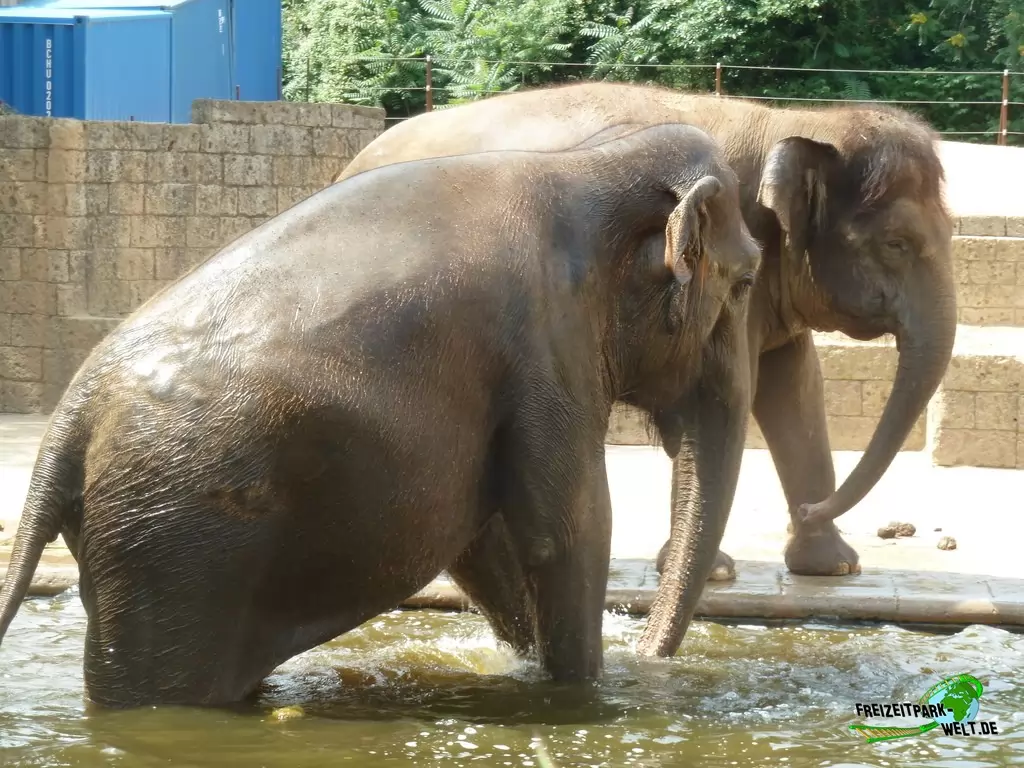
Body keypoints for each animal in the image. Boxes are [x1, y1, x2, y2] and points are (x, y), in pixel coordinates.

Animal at [0, 123, 761, 707]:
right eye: (747, 279)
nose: (650, 657)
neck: (593, 159)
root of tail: (66, 424)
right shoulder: (550, 345)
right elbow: (567, 530)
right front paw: (582, 693)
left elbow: (483, 539)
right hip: (173, 549)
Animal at [336, 82, 957, 609]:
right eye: (897, 243)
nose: (806, 509)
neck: (796, 123)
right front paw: (717, 573)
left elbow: (796, 385)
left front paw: (833, 568)